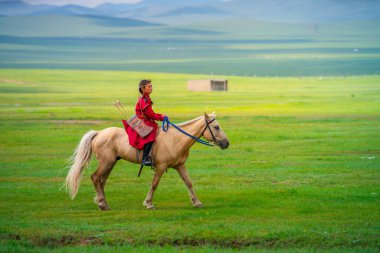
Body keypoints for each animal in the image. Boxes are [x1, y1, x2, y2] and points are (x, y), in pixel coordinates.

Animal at [64, 112, 229, 210]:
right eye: (216, 127)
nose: (226, 143)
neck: (175, 139)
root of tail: (99, 133)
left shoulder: (180, 165)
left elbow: (188, 182)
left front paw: (197, 202)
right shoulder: (161, 167)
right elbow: (154, 184)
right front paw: (148, 203)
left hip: (110, 163)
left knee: (101, 180)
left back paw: (102, 202)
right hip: (106, 162)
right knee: (95, 177)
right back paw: (102, 203)